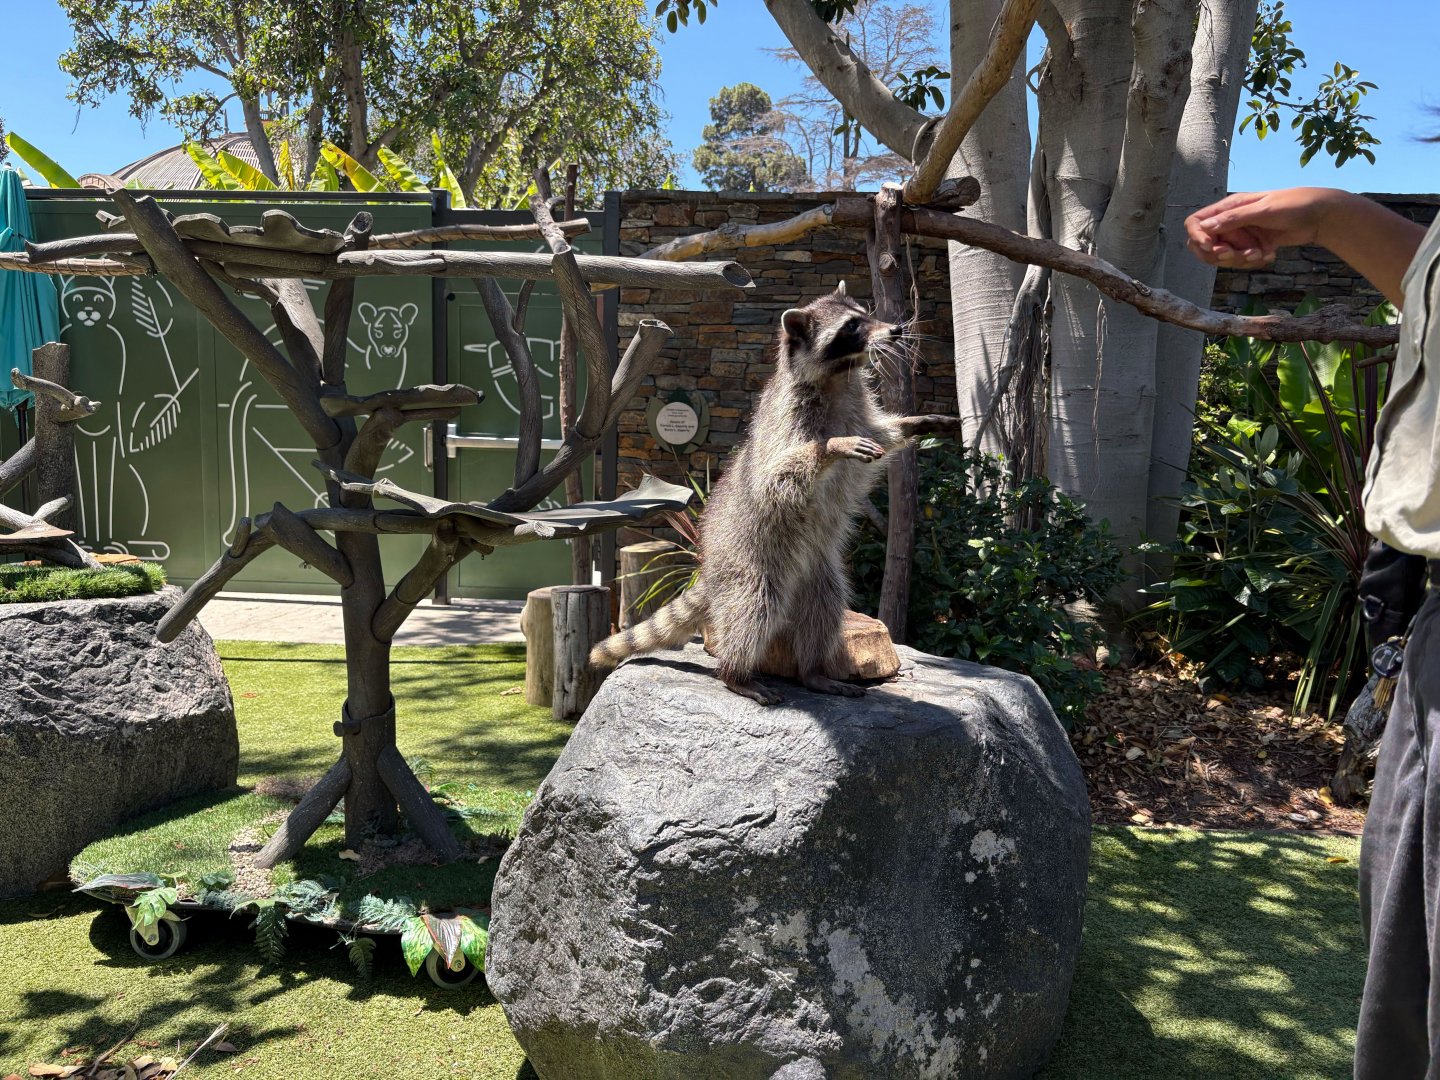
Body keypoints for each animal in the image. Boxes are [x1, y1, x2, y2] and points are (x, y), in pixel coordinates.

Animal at [591, 282, 958, 705]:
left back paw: (812, 672)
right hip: (751, 561)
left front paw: (917, 423)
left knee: (824, 606)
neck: (840, 376)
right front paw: (831, 446)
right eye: (851, 326)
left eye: (867, 315)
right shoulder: (786, 418)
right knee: (753, 608)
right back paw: (735, 673)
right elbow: (775, 479)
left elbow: (881, 435)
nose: (896, 330)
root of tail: (710, 567)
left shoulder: (858, 409)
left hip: (817, 570)